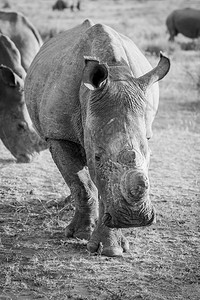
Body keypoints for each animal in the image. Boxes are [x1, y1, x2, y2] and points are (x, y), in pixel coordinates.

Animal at [24, 19, 170, 256]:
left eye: (149, 153)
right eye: (98, 157)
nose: (133, 219)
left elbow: (104, 187)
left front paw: (110, 248)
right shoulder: (58, 135)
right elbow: (82, 184)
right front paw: (80, 234)